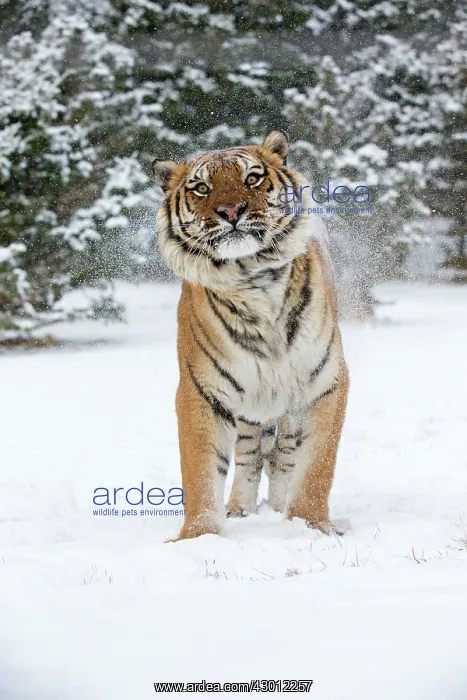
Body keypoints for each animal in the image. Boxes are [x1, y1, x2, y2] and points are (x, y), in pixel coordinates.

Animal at [152, 129, 349, 541]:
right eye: (201, 187)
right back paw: (240, 508)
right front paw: (198, 539)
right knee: (249, 454)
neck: (253, 278)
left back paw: (278, 507)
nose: (231, 212)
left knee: (284, 455)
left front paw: (310, 526)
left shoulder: (325, 382)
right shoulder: (201, 391)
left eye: (253, 178)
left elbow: (317, 465)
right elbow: (200, 472)